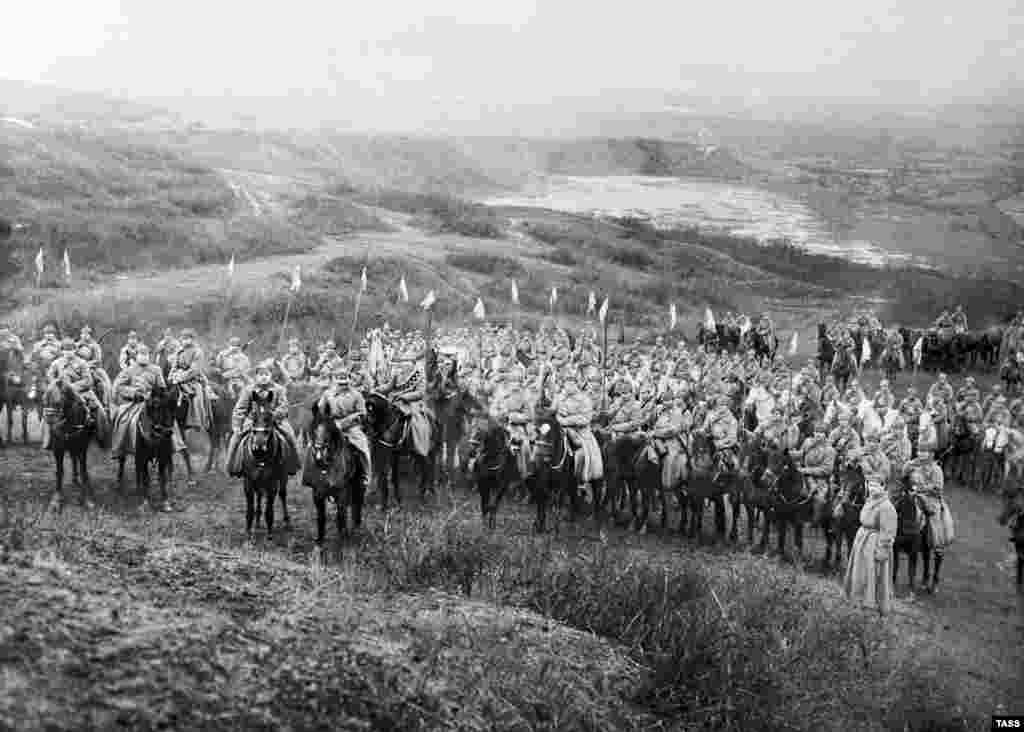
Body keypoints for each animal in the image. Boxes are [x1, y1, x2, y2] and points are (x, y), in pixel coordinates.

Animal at [41, 380, 97, 511]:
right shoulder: (58, 449)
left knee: (77, 462)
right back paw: (74, 478)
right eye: (44, 401)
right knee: (73, 459)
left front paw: (87, 499)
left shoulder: (82, 448)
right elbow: (59, 471)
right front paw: (56, 500)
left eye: (57, 402)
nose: (51, 425)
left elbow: (83, 470)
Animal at [236, 393, 288, 540]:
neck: (260, 458)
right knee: (259, 496)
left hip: (282, 478)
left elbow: (269, 508)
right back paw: (258, 521)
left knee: (283, 494)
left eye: (270, 415)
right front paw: (248, 531)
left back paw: (286, 521)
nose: (259, 445)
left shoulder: (272, 483)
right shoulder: (248, 482)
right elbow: (250, 508)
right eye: (253, 415)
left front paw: (269, 532)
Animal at [301, 415, 366, 548]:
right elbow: (321, 516)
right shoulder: (317, 494)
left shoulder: (342, 494)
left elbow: (341, 516)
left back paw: (355, 529)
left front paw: (343, 541)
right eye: (314, 428)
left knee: (357, 504)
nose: (319, 454)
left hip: (357, 486)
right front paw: (320, 541)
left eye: (328, 429)